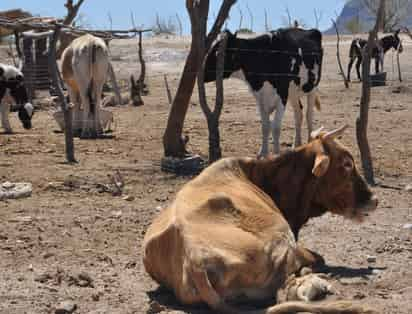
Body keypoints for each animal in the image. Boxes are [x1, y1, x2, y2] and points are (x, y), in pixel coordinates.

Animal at [143, 125, 378, 314]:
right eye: (347, 164)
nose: (374, 199)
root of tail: (196, 261)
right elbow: (318, 258)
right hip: (281, 237)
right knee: (284, 291)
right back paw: (314, 284)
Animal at [204, 28, 324, 157]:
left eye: (217, 53)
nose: (202, 73)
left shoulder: (282, 95)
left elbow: (276, 127)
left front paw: (276, 154)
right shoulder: (260, 97)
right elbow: (265, 126)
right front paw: (263, 153)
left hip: (312, 88)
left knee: (308, 115)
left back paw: (309, 142)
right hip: (293, 93)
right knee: (298, 114)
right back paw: (296, 145)